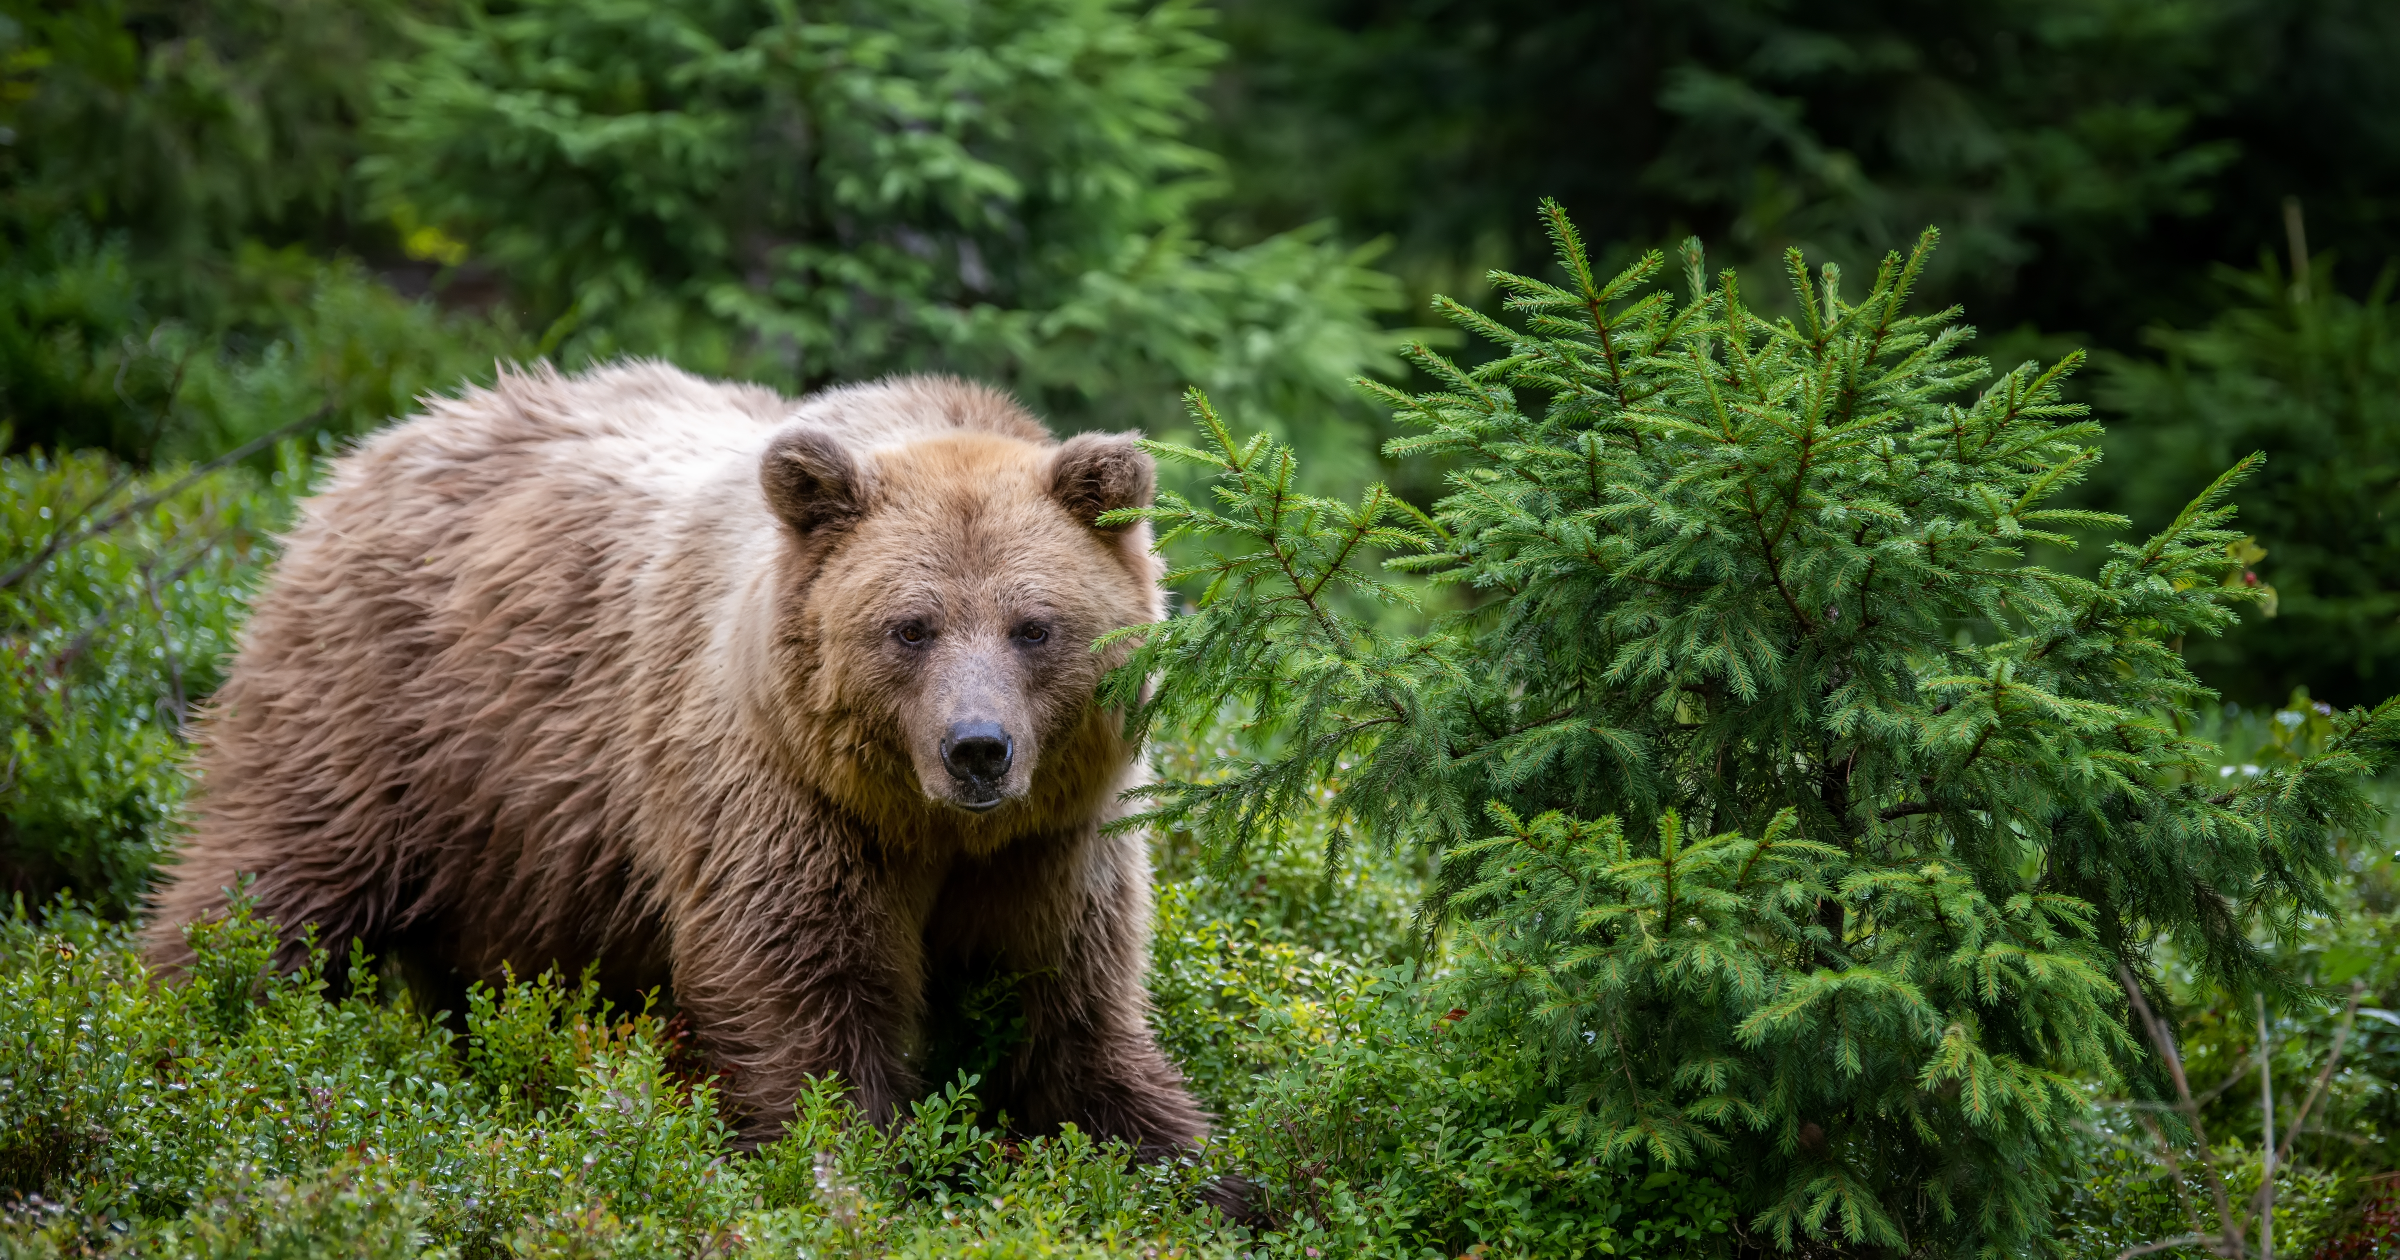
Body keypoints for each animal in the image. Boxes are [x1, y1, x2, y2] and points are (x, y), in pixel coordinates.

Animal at [140, 355, 1209, 1147]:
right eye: (911, 627)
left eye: (1035, 627)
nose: (976, 750)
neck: (926, 827)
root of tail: (381, 441)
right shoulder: (778, 796)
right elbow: (801, 998)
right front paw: (845, 1162)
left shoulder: (1056, 840)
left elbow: (1070, 1013)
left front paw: (1187, 1162)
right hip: (382, 714)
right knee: (266, 883)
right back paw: (183, 1034)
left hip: (509, 851)